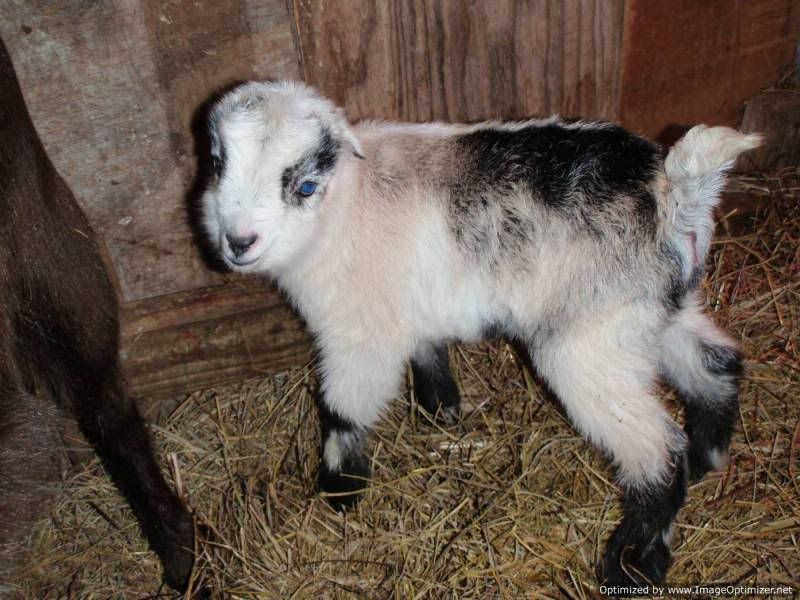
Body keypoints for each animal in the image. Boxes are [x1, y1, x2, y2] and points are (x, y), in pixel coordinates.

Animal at [200, 80, 759, 585]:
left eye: (305, 186)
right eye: (218, 164)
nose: (239, 242)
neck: (348, 204)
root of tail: (672, 194)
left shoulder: (360, 333)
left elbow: (342, 410)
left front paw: (340, 487)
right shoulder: (412, 307)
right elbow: (427, 350)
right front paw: (441, 409)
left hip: (591, 338)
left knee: (658, 450)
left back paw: (634, 563)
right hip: (656, 309)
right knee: (718, 363)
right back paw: (709, 456)